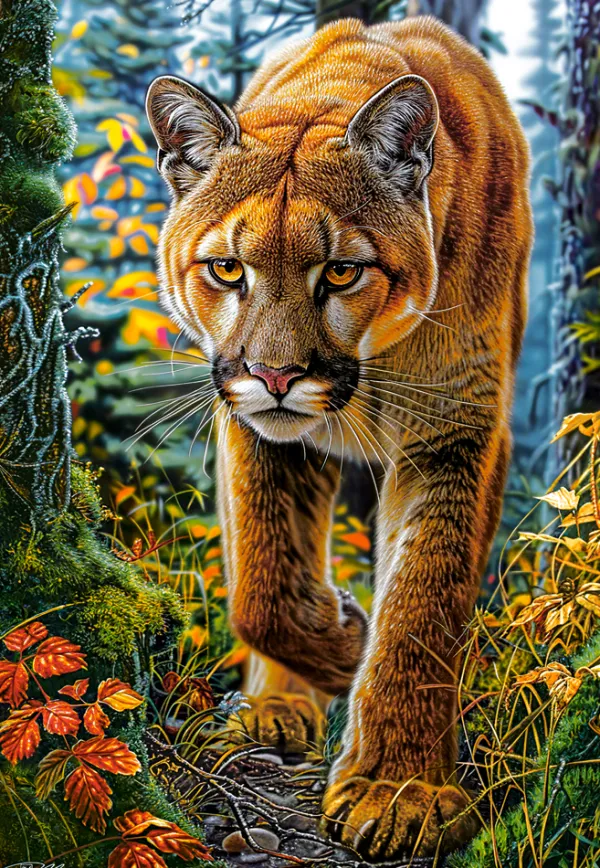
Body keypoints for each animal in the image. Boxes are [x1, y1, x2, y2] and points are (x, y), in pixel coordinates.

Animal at [146, 15, 532, 859]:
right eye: (228, 269)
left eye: (343, 272)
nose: (276, 375)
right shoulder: (254, 428)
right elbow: (262, 584)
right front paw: (345, 642)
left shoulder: (456, 431)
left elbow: (423, 604)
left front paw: (400, 790)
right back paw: (273, 711)